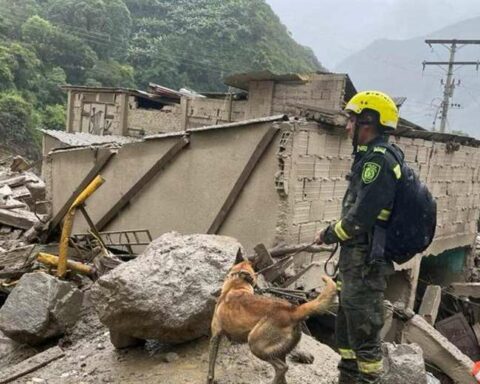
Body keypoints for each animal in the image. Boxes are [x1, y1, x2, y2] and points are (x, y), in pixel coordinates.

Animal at [206, 260, 338, 382]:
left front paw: (210, 379)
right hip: (279, 351)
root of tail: (293, 311)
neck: (236, 286)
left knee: (282, 367)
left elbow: (210, 368)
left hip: (256, 344)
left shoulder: (215, 336)